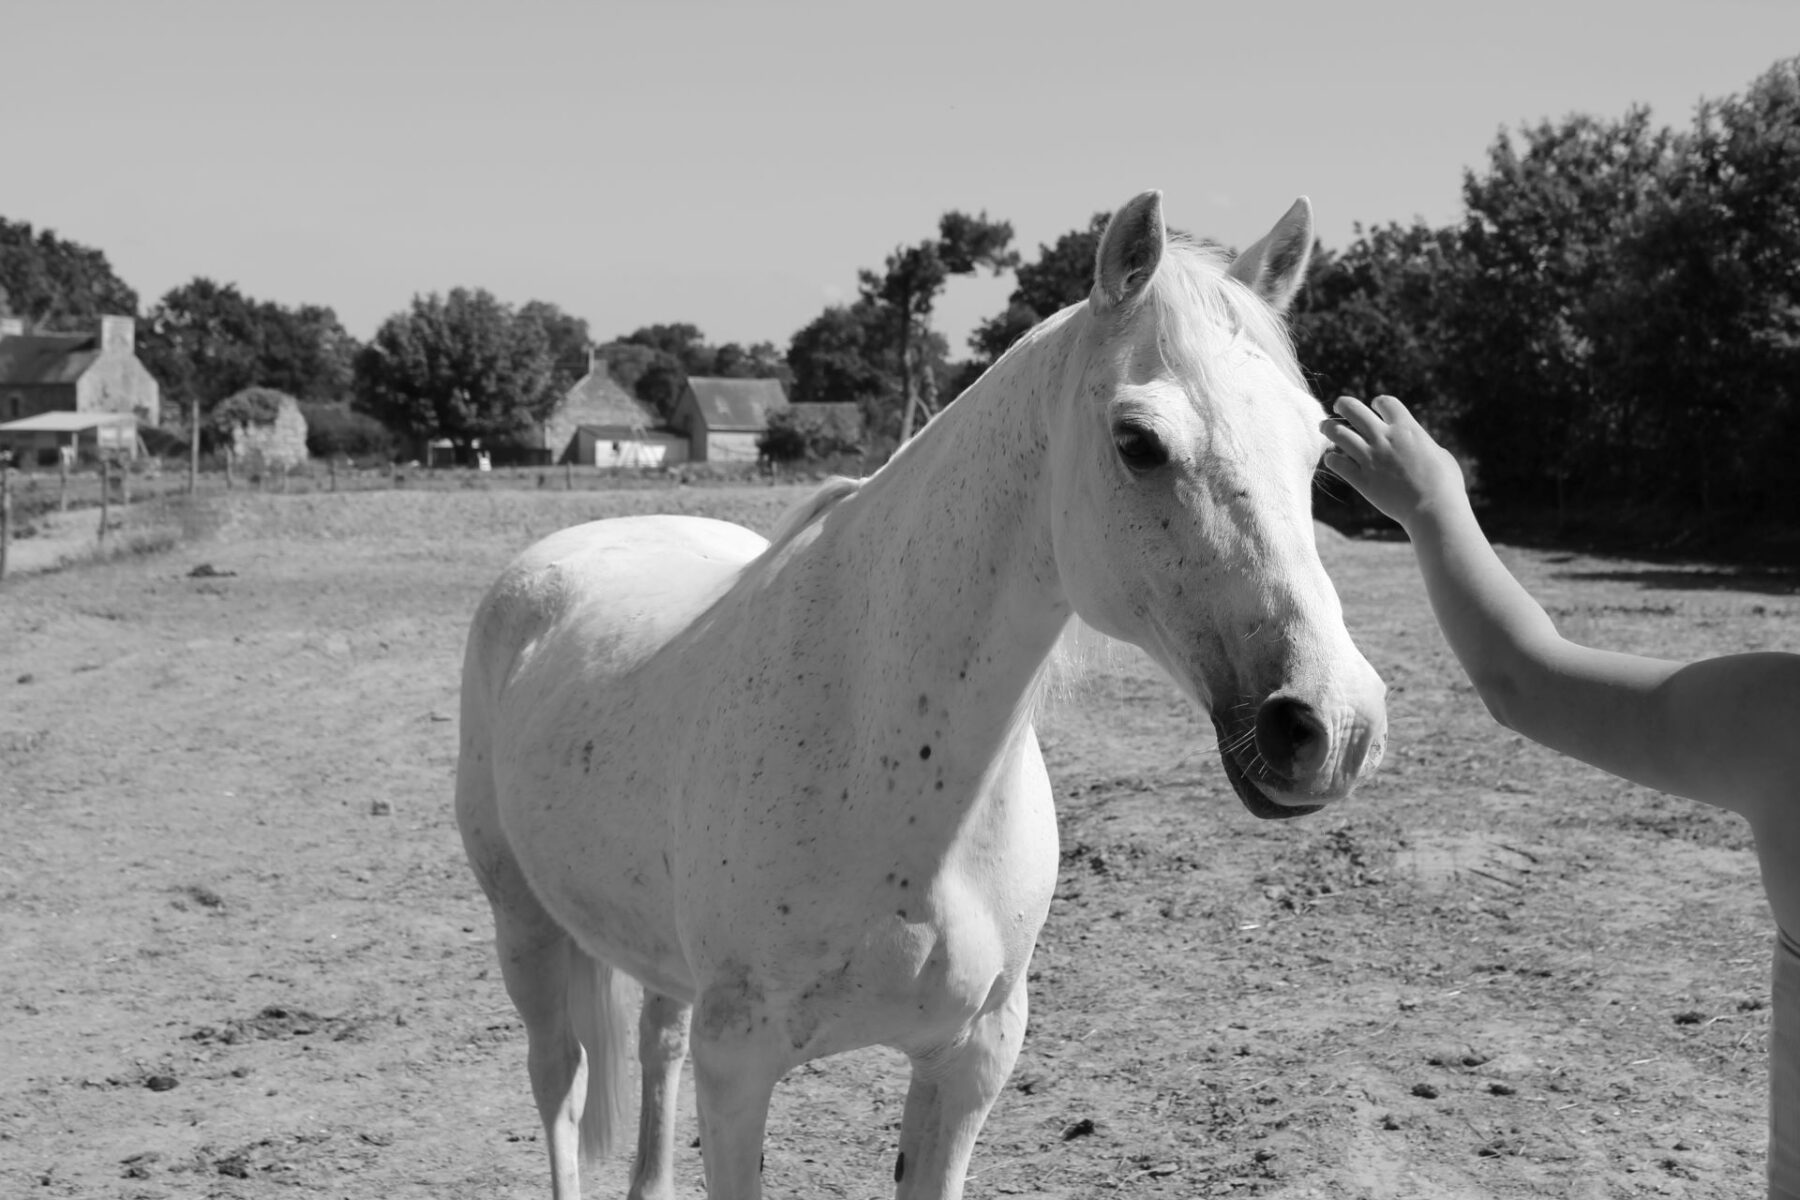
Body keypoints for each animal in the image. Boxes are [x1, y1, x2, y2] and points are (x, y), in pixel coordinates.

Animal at [457, 192, 1382, 1194]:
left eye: (1316, 445)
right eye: (1138, 442)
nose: (1332, 724)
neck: (886, 763)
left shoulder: (970, 1058)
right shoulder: (737, 1067)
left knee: (653, 1045)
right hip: (525, 930)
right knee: (560, 1084)